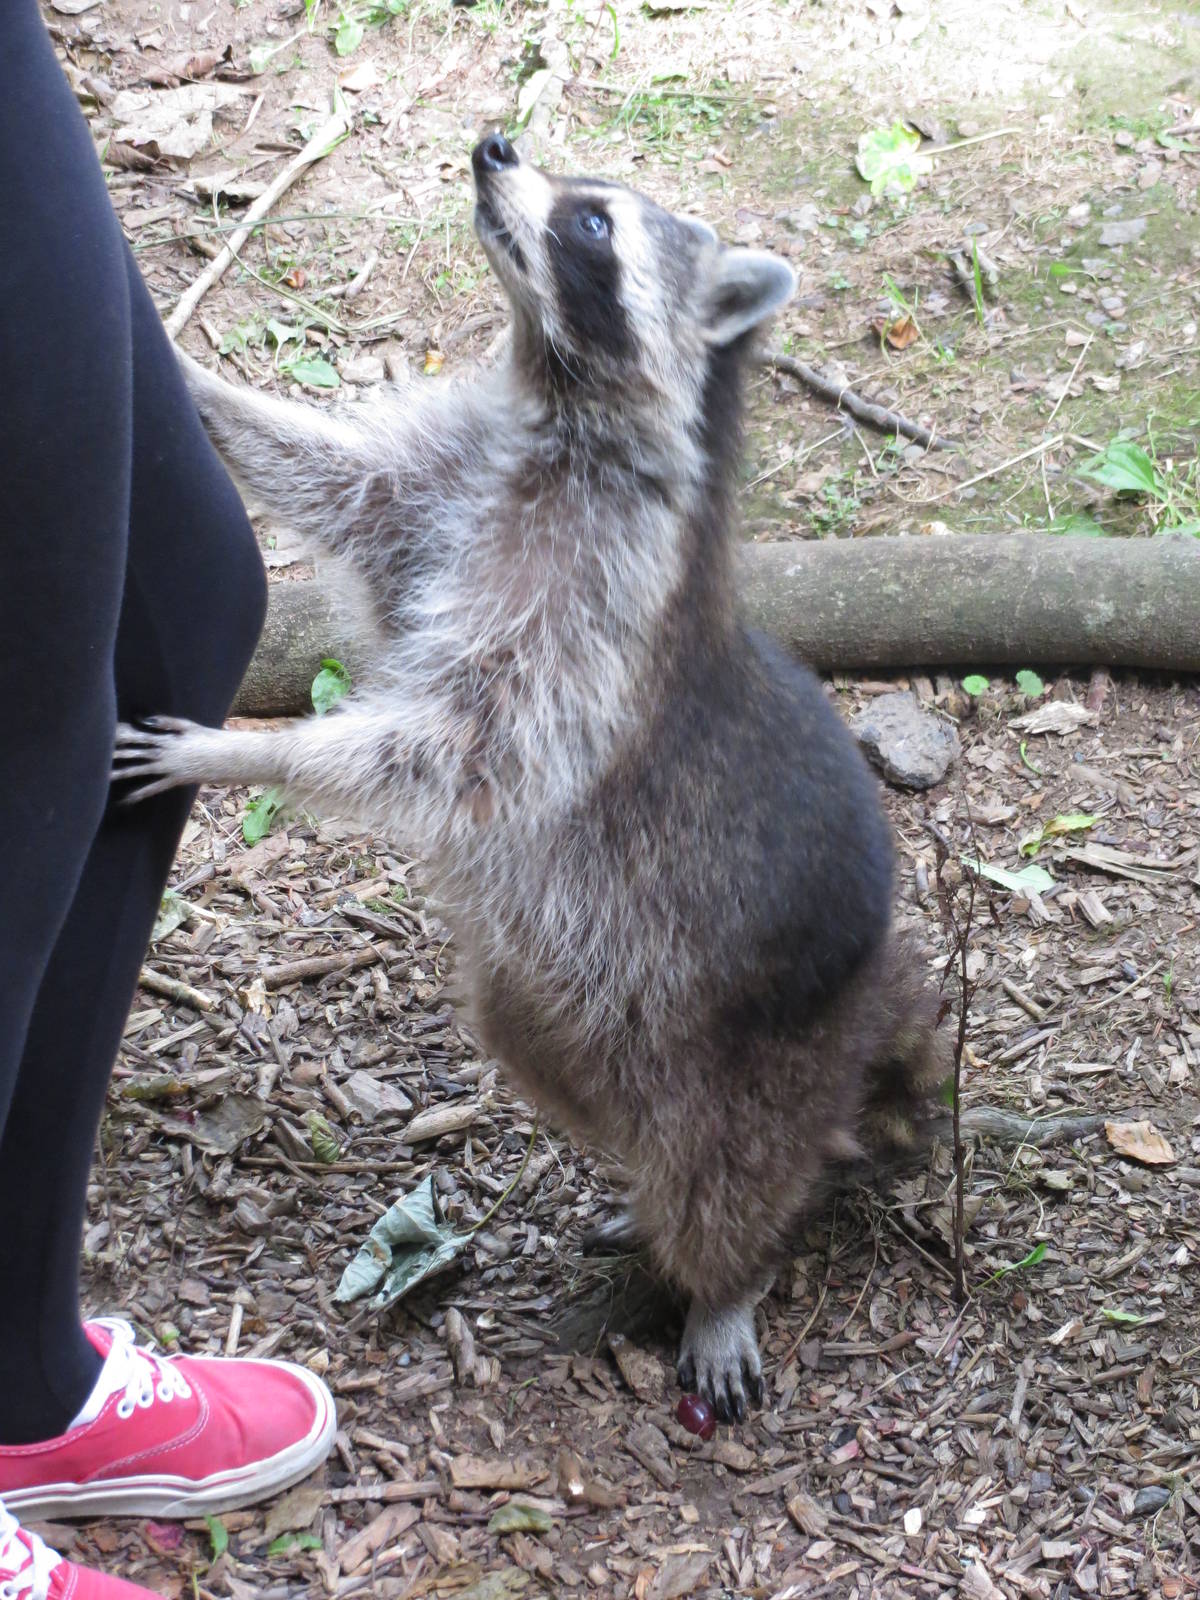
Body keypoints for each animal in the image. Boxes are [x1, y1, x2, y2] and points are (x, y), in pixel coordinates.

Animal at [114, 133, 948, 1421]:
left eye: (593, 223)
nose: (495, 144)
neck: (558, 396)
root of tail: (863, 1013)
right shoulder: (447, 494)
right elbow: (340, 481)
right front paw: (195, 376)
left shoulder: (589, 614)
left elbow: (463, 744)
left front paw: (243, 747)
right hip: (577, 1009)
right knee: (553, 1058)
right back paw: (642, 1197)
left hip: (757, 1041)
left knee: (731, 1171)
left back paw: (726, 1273)